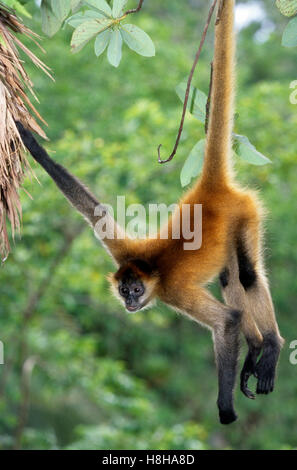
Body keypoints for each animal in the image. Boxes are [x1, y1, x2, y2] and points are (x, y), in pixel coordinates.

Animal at [15, 0, 282, 424]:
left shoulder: (171, 290)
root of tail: (210, 189)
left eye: (136, 290)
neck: (152, 269)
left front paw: (224, 412)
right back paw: (254, 349)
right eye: (123, 290)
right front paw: (30, 141)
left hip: (247, 213)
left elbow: (227, 322)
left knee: (249, 274)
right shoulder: (123, 250)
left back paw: (270, 346)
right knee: (230, 277)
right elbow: (94, 210)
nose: (129, 302)